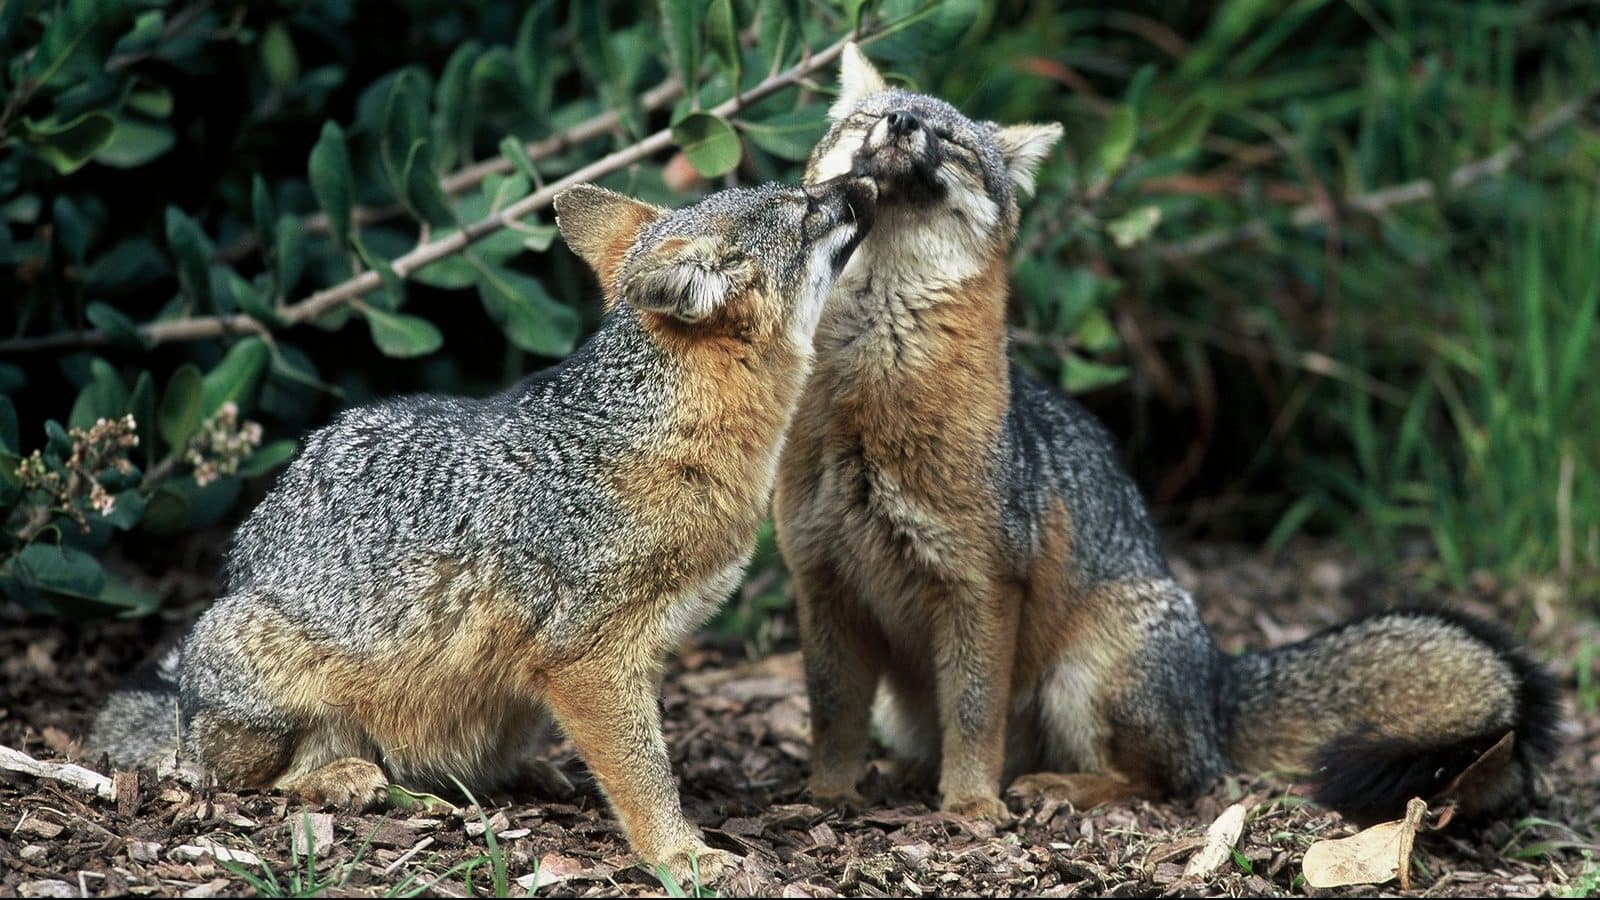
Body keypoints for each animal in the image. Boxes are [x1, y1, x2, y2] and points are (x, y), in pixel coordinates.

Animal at [87, 175, 878, 882]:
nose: (866, 183)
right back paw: (346, 777)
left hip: (517, 704)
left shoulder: (627, 658)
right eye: (808, 208)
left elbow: (642, 753)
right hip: (274, 684)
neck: (665, 436)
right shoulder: (588, 655)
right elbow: (644, 771)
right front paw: (679, 853)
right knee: (237, 780)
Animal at [772, 44, 1559, 827]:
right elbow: (831, 713)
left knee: (1168, 781)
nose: (903, 121)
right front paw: (828, 793)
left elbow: (973, 715)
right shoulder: (823, 578)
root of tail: (1218, 681)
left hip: (1085, 674)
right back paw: (910, 772)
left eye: (951, 142)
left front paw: (970, 805)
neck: (867, 395)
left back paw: (1056, 788)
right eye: (872, 119)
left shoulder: (982, 583)